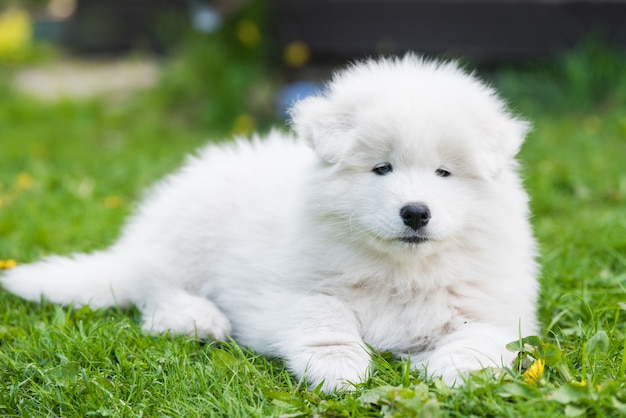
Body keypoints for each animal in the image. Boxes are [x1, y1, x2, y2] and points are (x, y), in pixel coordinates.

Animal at [1, 54, 536, 392]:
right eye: (381, 168)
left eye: (444, 173)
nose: (416, 212)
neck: (400, 269)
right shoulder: (286, 293)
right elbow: (325, 317)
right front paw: (340, 369)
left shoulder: (493, 305)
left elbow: (481, 337)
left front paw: (452, 373)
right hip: (187, 238)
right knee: (154, 290)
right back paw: (199, 319)